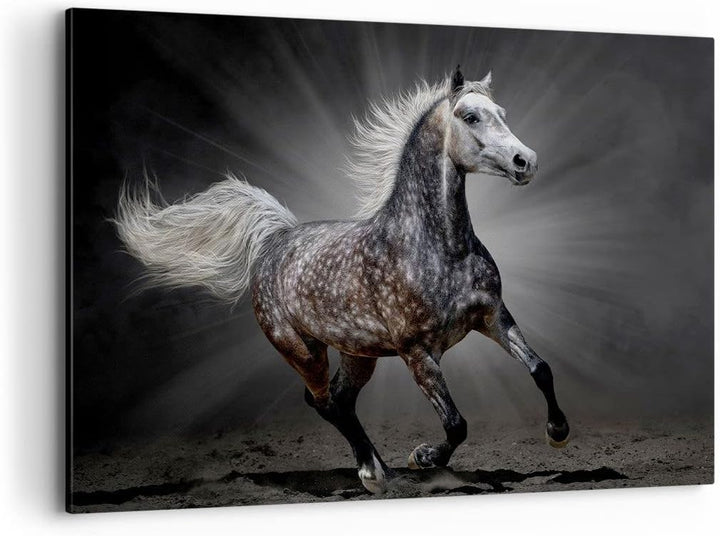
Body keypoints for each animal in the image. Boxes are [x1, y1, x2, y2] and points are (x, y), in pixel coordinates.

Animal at [114, 67, 570, 494]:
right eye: (470, 116)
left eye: (502, 113)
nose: (526, 161)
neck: (439, 247)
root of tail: (276, 239)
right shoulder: (417, 353)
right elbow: (456, 424)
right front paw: (422, 457)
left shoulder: (493, 317)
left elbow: (541, 369)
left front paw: (558, 433)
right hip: (302, 350)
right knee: (324, 402)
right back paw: (373, 473)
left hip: (358, 353)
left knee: (340, 400)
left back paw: (379, 467)